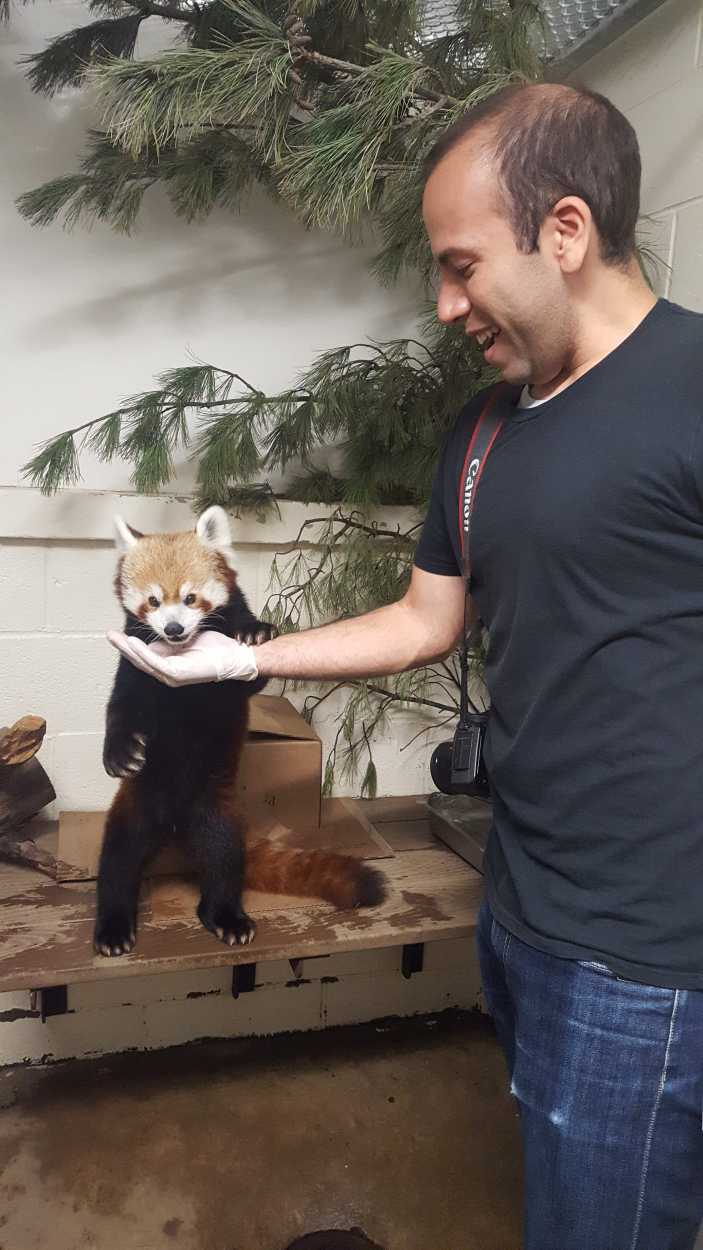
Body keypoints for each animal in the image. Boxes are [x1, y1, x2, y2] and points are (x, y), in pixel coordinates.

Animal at [94, 507, 382, 955]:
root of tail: (175, 823)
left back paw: (226, 917)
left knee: (223, 860)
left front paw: (254, 632)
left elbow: (249, 671)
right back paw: (113, 926)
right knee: (118, 860)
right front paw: (119, 753)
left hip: (218, 813)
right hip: (136, 805)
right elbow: (121, 708)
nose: (173, 629)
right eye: (153, 601)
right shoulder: (134, 662)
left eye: (191, 598)